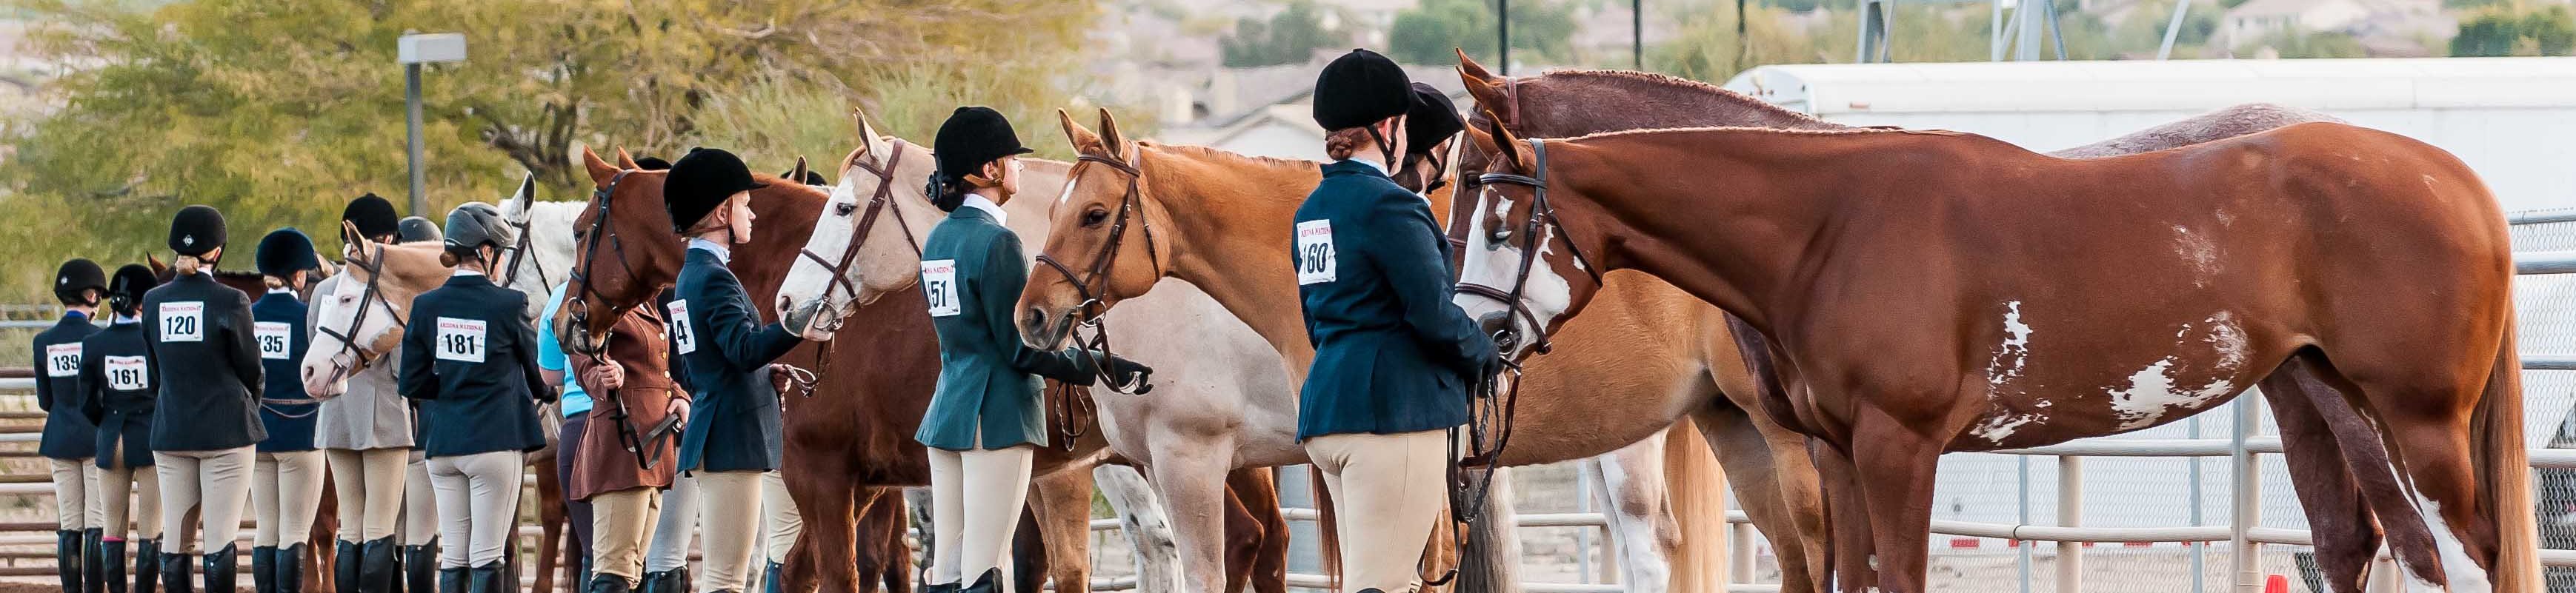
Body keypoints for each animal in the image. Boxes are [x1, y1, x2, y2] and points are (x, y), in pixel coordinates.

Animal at [1453, 101, 2539, 593]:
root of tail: (2458, 183)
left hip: (2417, 422)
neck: (1831, 226)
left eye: (1499, 222)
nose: (1476, 336)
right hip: (2335, 394)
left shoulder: (1901, 448)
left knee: (2462, 553)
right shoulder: (1841, 455)